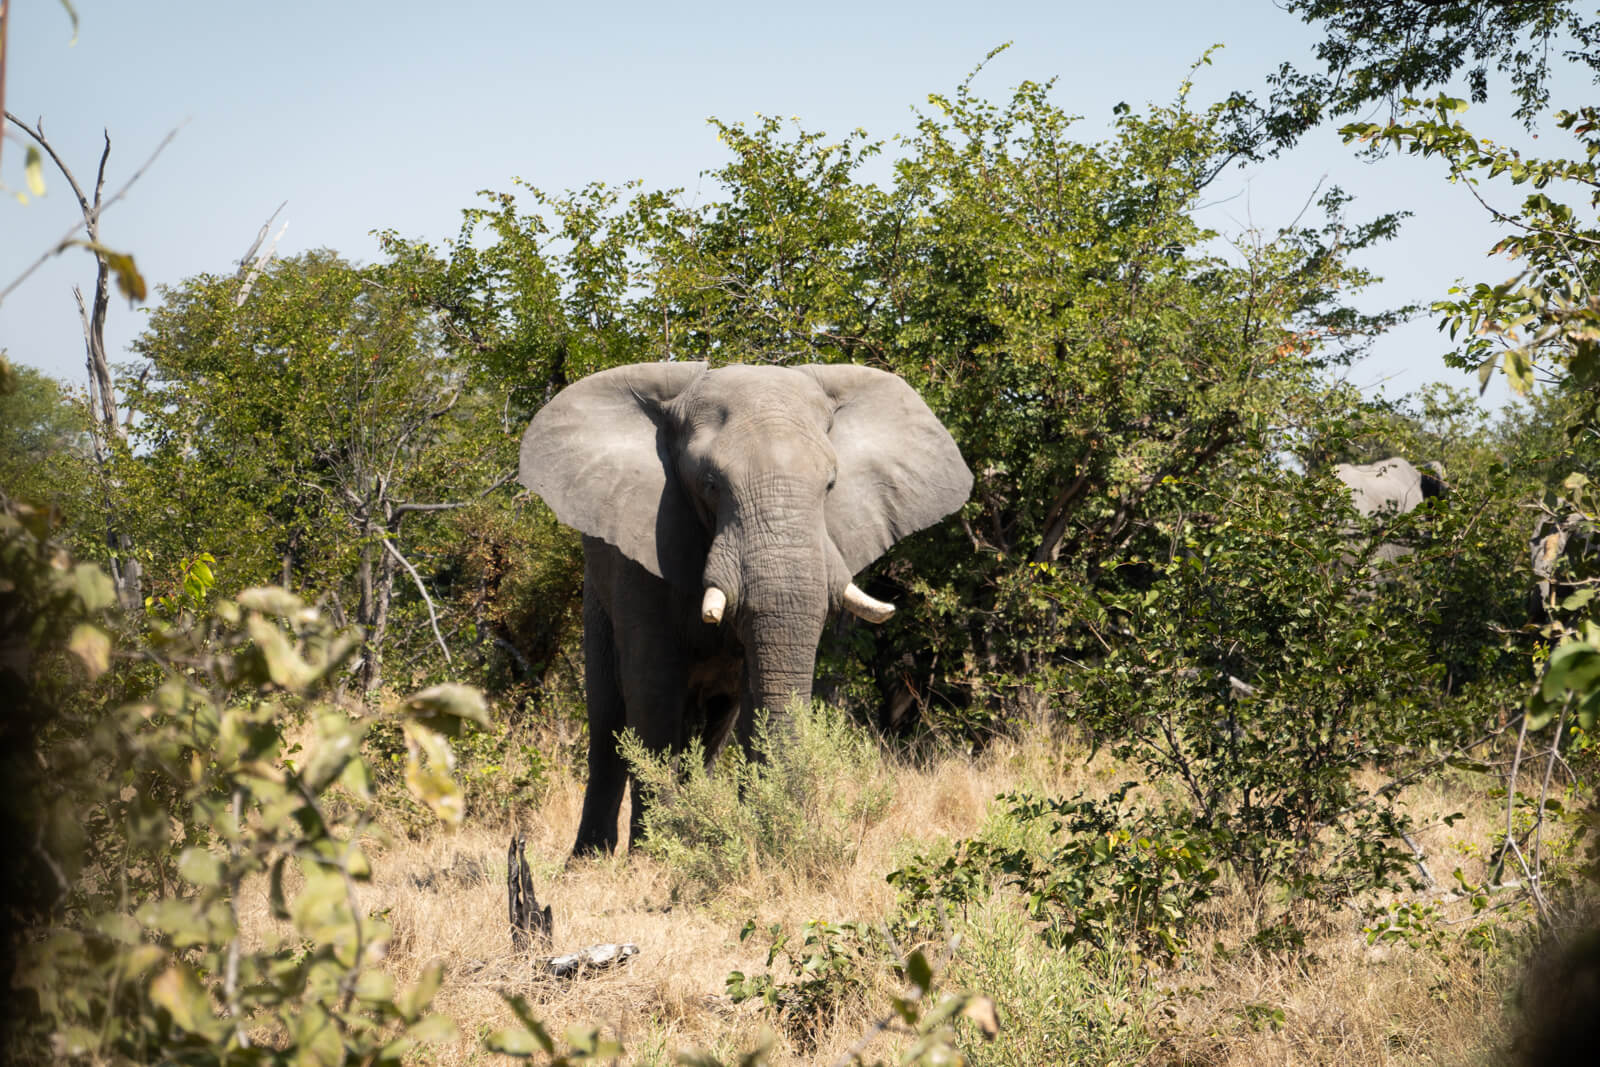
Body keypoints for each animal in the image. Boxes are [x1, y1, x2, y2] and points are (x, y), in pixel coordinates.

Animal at [518, 361, 973, 856]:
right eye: (710, 484)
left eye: (831, 485)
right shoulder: (640, 559)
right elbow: (652, 692)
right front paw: (657, 858)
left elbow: (756, 694)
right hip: (596, 594)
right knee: (607, 720)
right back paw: (590, 860)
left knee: (712, 726)